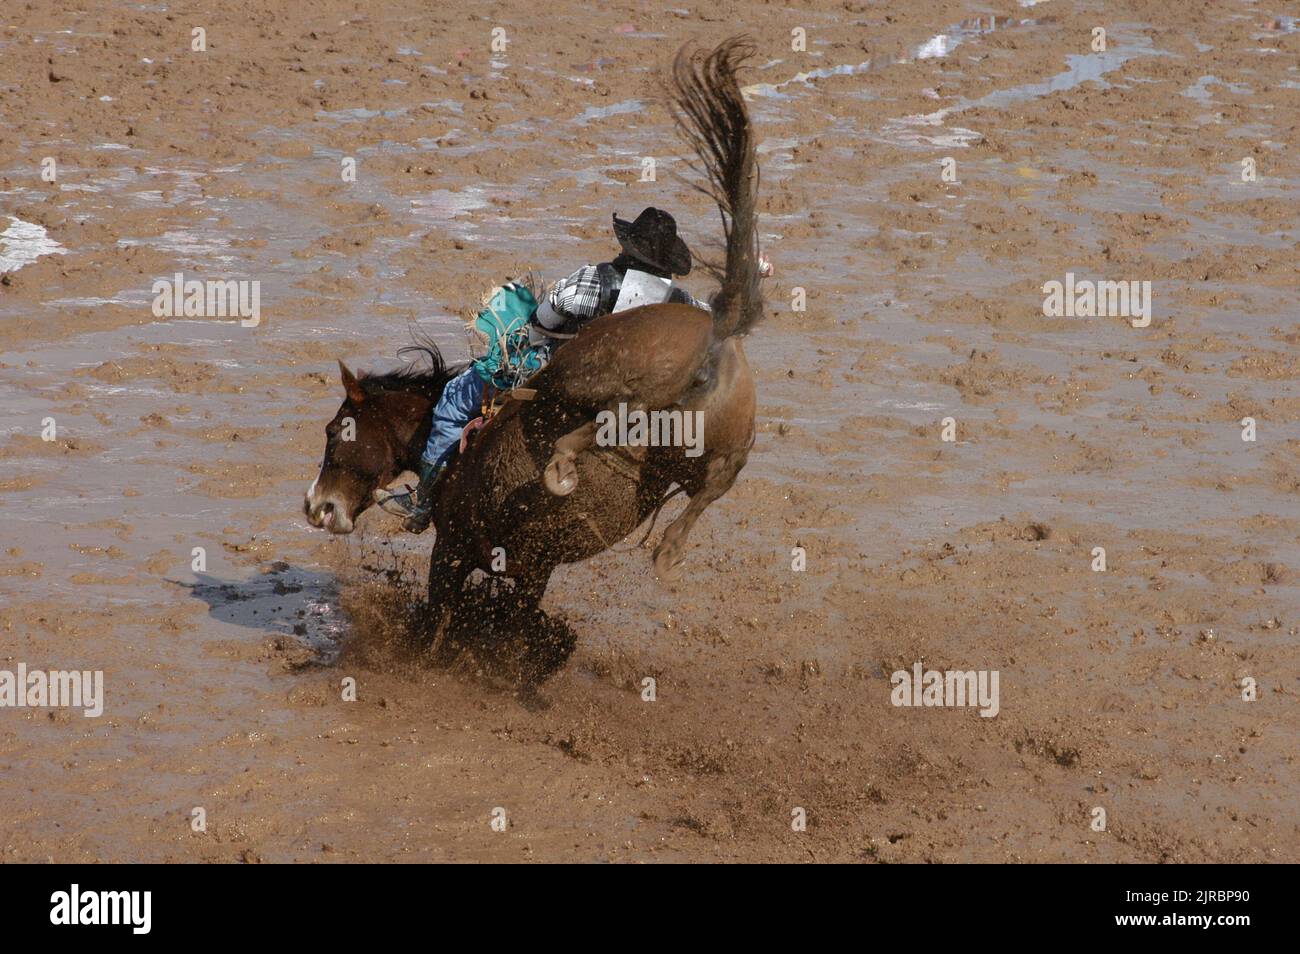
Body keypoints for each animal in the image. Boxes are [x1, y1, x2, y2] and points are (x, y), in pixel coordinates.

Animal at [301, 35, 769, 681]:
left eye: (334, 431)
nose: (316, 506)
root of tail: (718, 331)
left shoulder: (457, 549)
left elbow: (444, 618)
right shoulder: (532, 565)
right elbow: (531, 625)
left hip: (585, 376)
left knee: (606, 413)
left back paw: (564, 464)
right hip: (715, 446)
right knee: (711, 482)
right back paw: (668, 549)